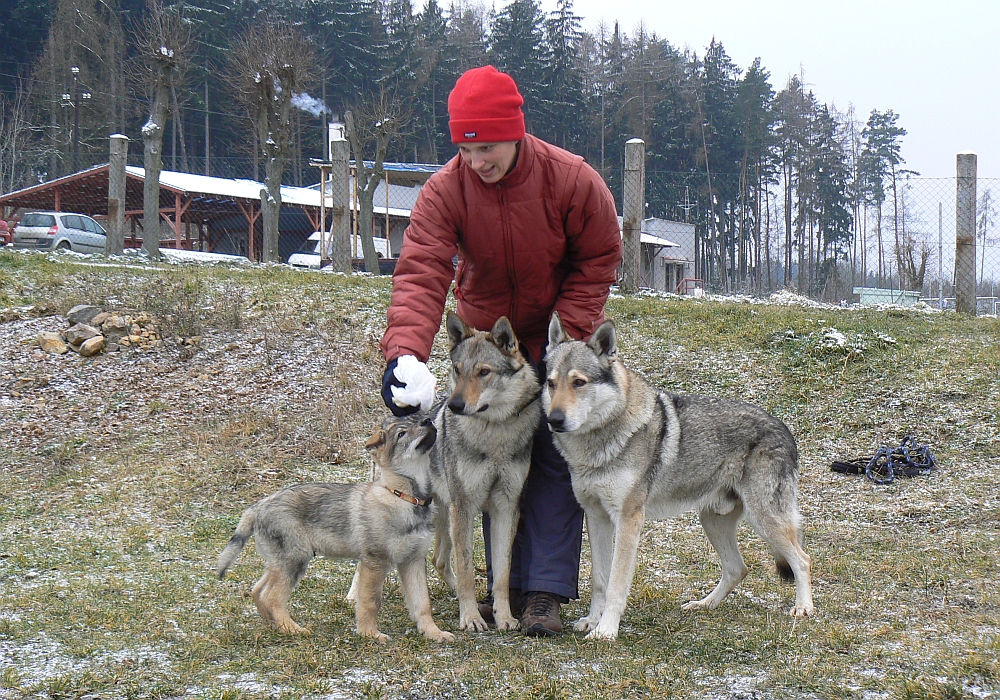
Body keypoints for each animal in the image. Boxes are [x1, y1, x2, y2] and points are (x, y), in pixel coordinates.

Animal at [221, 412, 456, 644]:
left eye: (417, 421)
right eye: (401, 434)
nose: (428, 421)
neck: (405, 497)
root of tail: (259, 506)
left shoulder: (413, 560)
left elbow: (422, 604)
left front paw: (433, 633)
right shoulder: (375, 562)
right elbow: (370, 602)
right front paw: (369, 634)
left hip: (281, 562)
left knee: (258, 590)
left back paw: (273, 626)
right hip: (294, 560)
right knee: (272, 597)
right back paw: (292, 629)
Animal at [540, 312, 812, 640]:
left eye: (578, 382)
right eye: (551, 384)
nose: (554, 420)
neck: (598, 445)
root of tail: (785, 428)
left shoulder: (629, 520)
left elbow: (617, 584)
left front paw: (606, 631)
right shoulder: (596, 517)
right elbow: (599, 580)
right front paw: (592, 621)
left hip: (764, 520)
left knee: (802, 559)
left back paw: (804, 608)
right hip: (713, 521)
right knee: (738, 569)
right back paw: (704, 605)